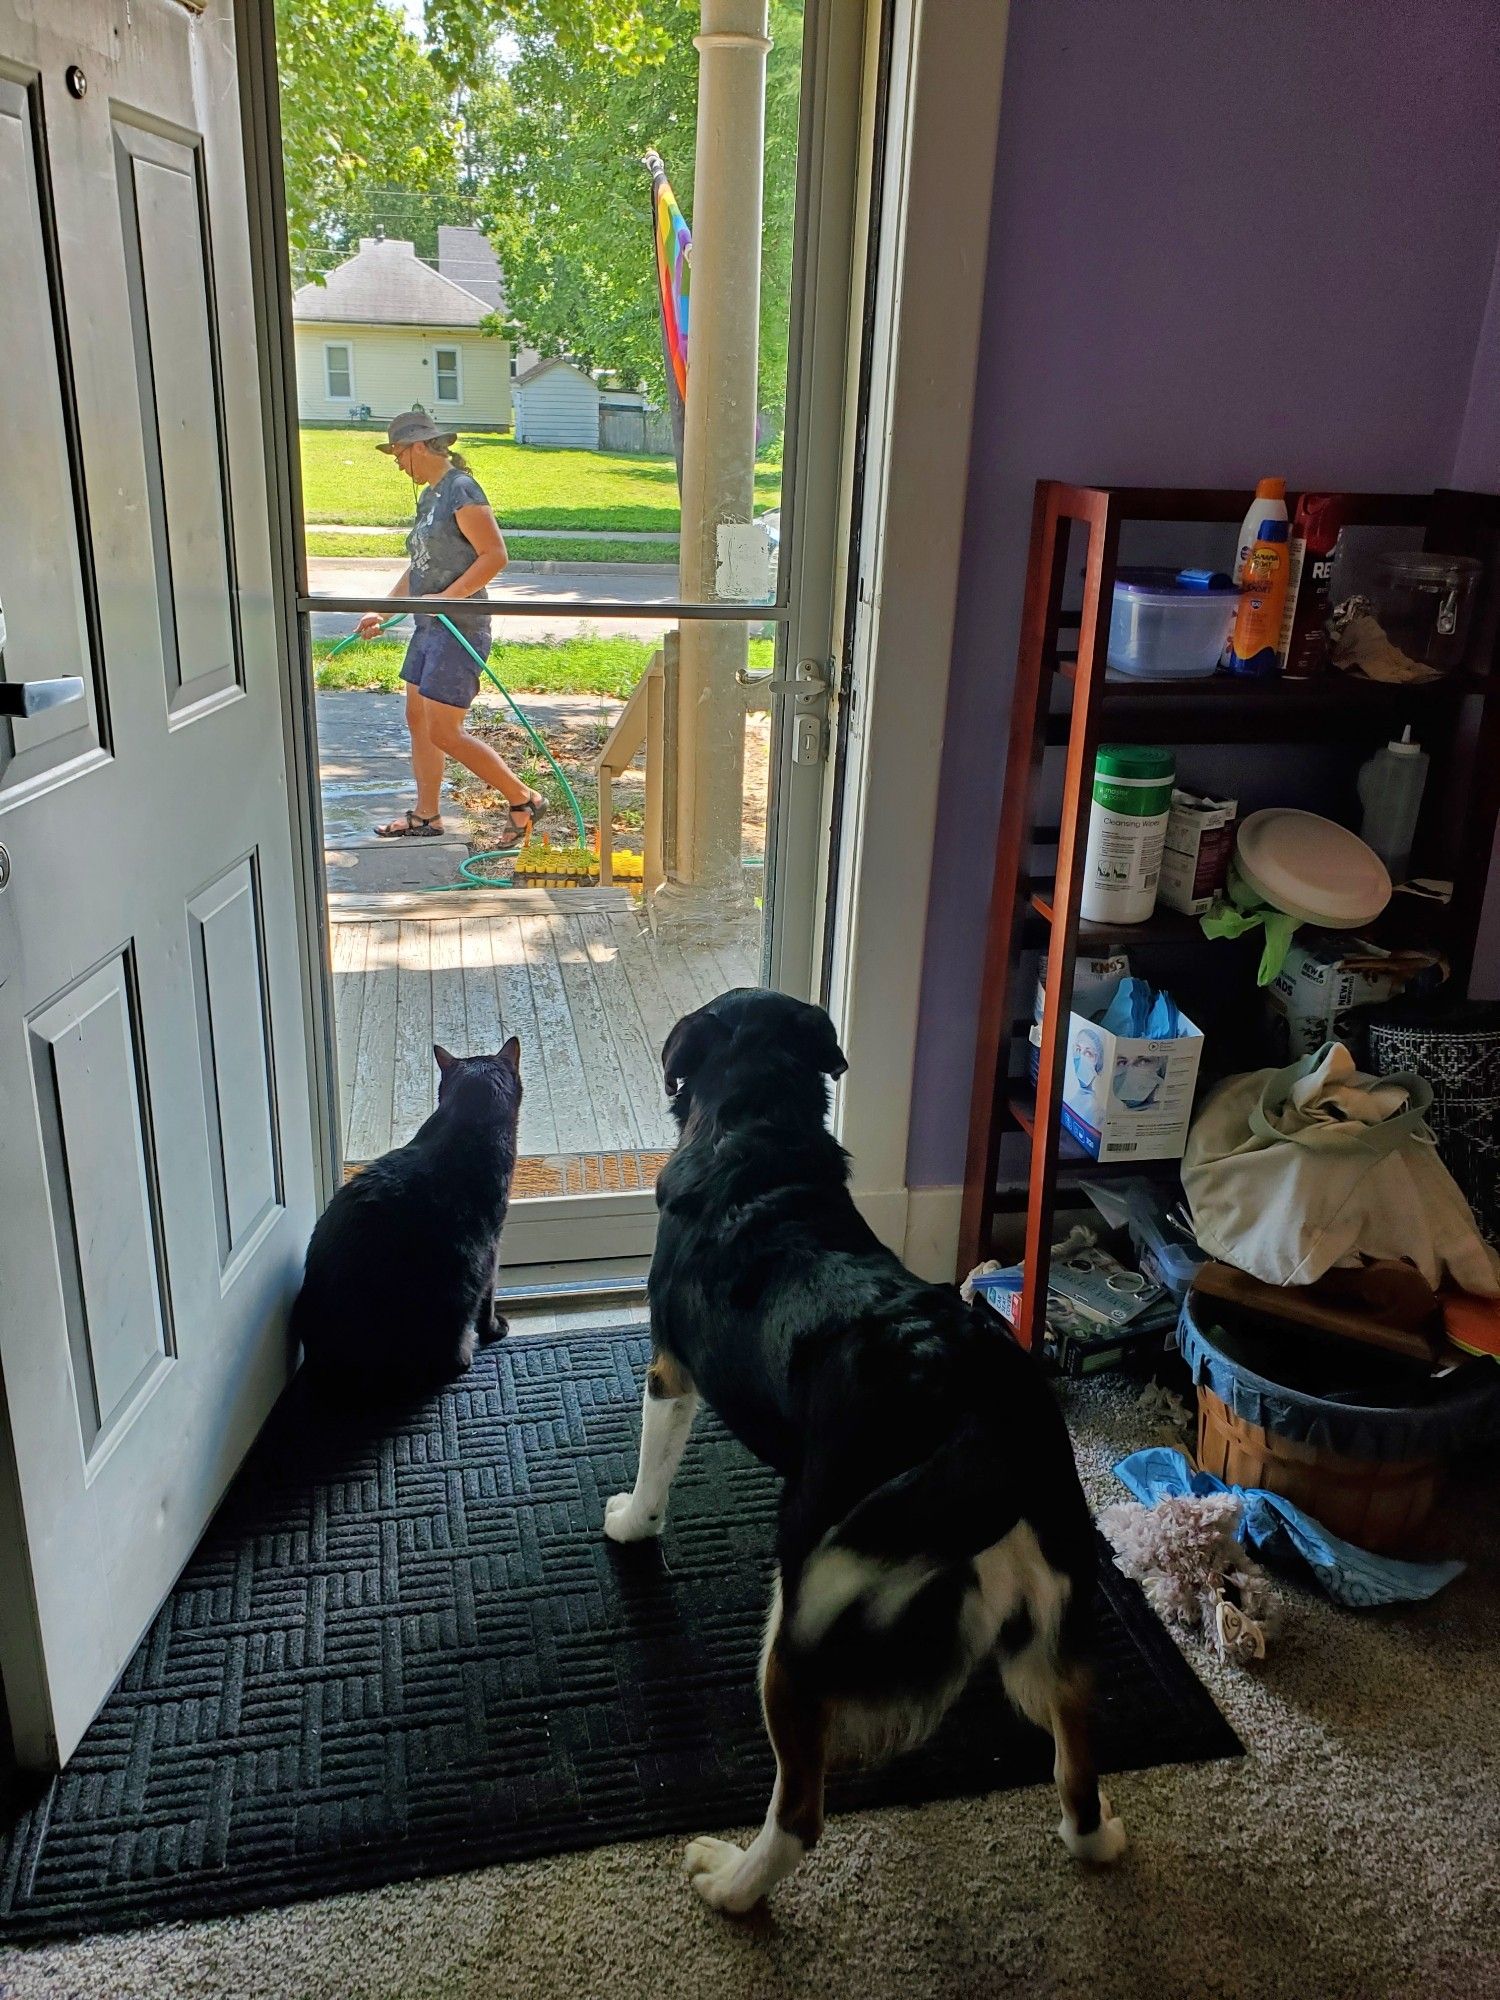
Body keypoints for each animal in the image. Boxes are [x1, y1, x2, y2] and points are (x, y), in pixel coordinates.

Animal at [294, 1040, 528, 1400]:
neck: (464, 1127)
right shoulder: (491, 1248)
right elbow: (489, 1297)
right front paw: (493, 1330)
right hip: (461, 1280)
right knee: (453, 1358)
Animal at [600, 992, 1128, 1912]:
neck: (757, 1131)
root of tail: (982, 1414)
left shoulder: (670, 1370)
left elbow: (653, 1466)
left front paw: (630, 1521)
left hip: (801, 1622)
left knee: (799, 1814)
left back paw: (728, 1884)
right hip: (1054, 1622)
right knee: (1075, 1764)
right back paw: (1097, 1842)